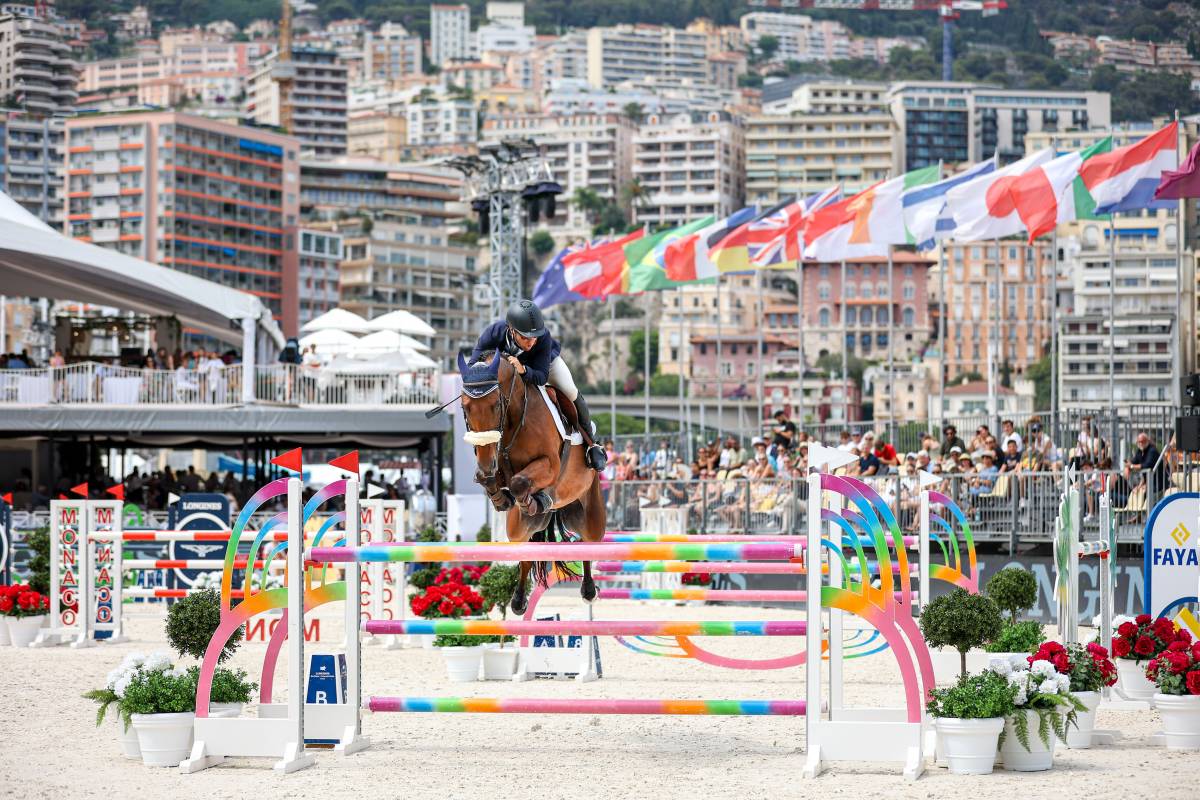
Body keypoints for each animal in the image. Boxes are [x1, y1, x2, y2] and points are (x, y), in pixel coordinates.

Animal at [458, 347, 609, 614]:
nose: (486, 463)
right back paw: (518, 600)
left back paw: (589, 590)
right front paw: (502, 499)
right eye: (465, 407)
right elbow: (488, 479)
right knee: (526, 550)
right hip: (519, 528)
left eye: (495, 405)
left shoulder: (550, 464)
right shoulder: (495, 463)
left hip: (591, 515)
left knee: (587, 543)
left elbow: (519, 481)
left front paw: (532, 499)